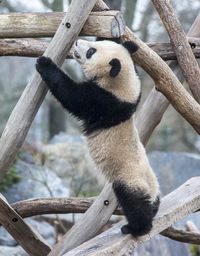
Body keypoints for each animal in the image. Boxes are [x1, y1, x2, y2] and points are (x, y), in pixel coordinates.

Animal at [35, 39, 159, 237]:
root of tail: (151, 192)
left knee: (134, 204)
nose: (78, 42)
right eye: (97, 42)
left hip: (129, 179)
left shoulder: (104, 101)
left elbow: (73, 97)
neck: (121, 84)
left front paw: (44, 63)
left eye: (91, 51)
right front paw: (127, 42)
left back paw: (135, 228)